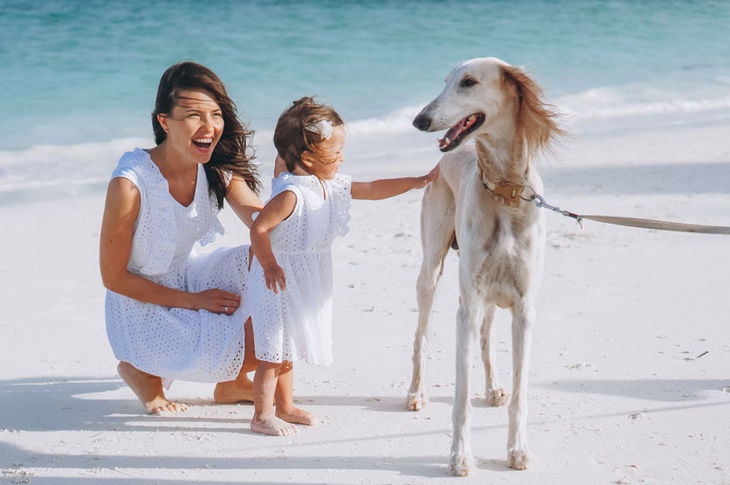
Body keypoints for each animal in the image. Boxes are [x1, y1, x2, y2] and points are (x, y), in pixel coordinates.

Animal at [406, 55, 560, 472]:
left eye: (469, 82)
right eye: (445, 81)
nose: (419, 120)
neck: (505, 191)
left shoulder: (524, 308)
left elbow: (520, 395)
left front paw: (518, 449)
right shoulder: (468, 305)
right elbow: (460, 399)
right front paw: (459, 456)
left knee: (488, 339)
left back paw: (492, 387)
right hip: (432, 270)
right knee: (421, 336)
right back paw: (415, 392)